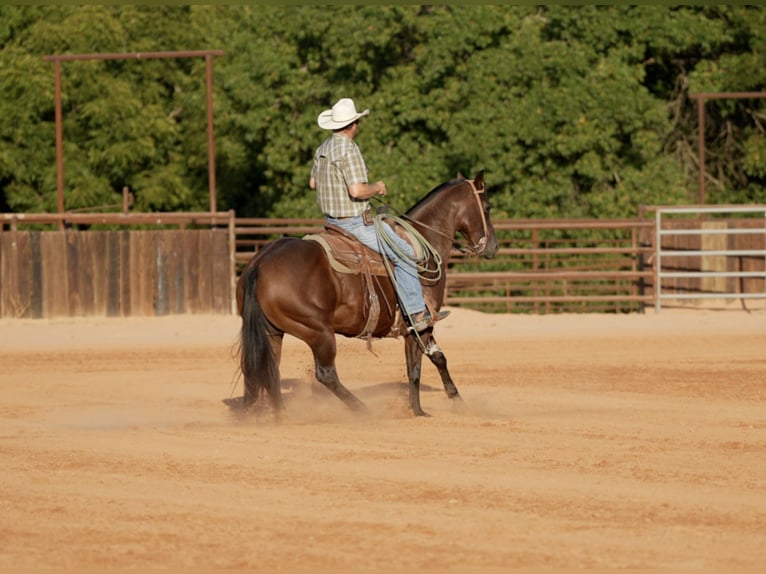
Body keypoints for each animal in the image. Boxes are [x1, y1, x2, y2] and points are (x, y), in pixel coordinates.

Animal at [236, 170, 498, 417]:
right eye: (487, 207)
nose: (493, 247)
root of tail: (260, 264)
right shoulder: (420, 325)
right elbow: (422, 365)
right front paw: (428, 409)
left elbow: (429, 361)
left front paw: (432, 406)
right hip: (318, 331)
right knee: (325, 374)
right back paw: (363, 411)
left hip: (272, 332)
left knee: (268, 370)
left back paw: (279, 415)